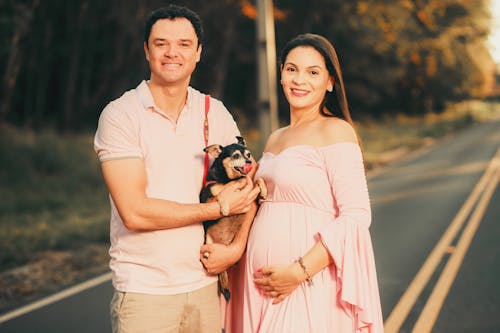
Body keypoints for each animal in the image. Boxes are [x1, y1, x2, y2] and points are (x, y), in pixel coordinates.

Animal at [199, 136, 266, 300]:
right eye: (235, 156)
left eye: (248, 154)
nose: (248, 162)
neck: (231, 180)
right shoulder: (207, 197)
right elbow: (221, 193)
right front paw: (225, 207)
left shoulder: (250, 192)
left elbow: (258, 180)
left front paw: (264, 191)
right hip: (207, 244)